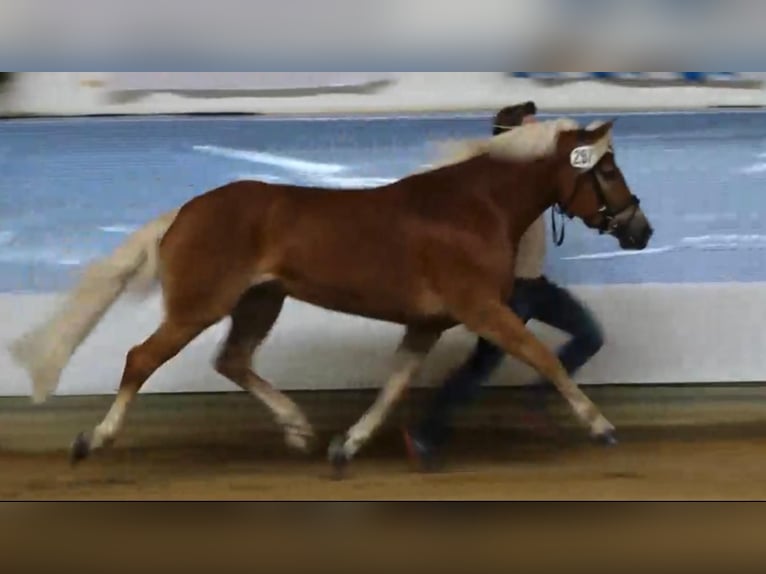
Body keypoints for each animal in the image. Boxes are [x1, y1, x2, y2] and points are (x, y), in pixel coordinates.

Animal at [8, 117, 653, 475]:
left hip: (260, 302)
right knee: (140, 358)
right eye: (607, 170)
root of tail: (182, 215)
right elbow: (544, 357)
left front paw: (348, 446)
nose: (641, 230)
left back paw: (298, 430)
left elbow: (394, 384)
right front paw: (601, 427)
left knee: (232, 360)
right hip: (199, 307)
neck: (473, 208)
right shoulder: (482, 310)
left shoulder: (427, 323)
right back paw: (91, 441)